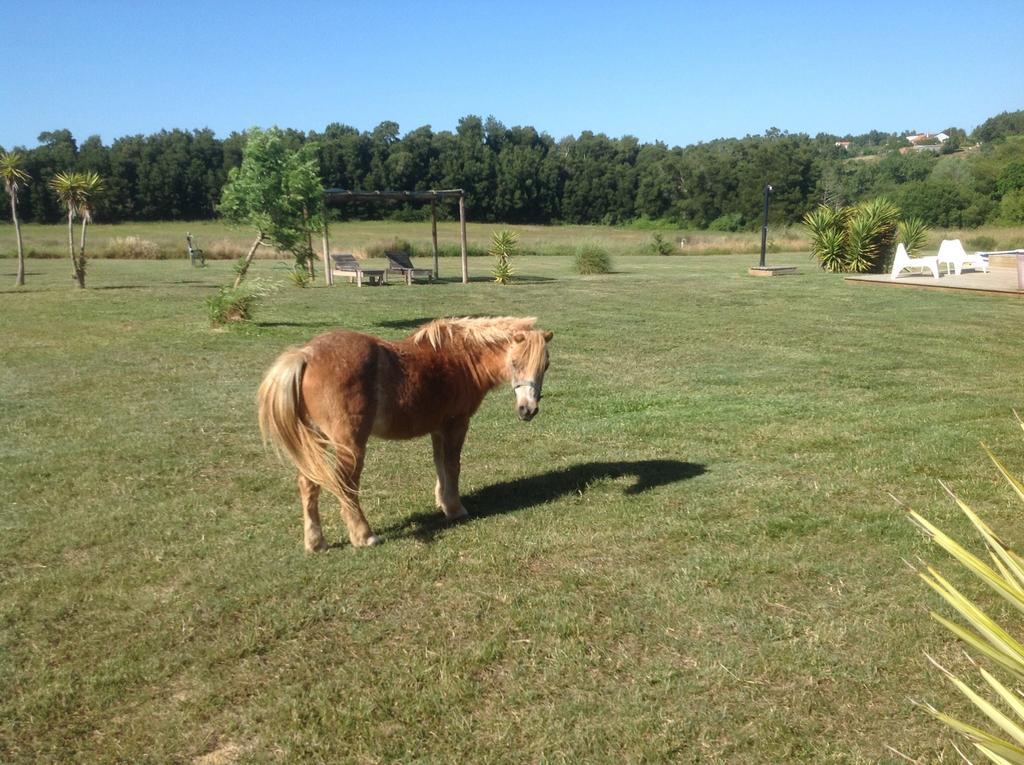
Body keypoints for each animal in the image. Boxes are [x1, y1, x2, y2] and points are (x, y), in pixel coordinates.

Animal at [260, 315, 557, 548]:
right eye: (515, 362)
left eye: (545, 366)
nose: (528, 409)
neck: (460, 358)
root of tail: (306, 355)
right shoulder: (456, 424)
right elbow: (453, 465)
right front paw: (456, 508)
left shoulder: (438, 428)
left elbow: (440, 465)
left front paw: (443, 503)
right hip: (350, 444)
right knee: (345, 485)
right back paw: (364, 536)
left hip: (315, 440)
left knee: (308, 483)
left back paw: (316, 542)